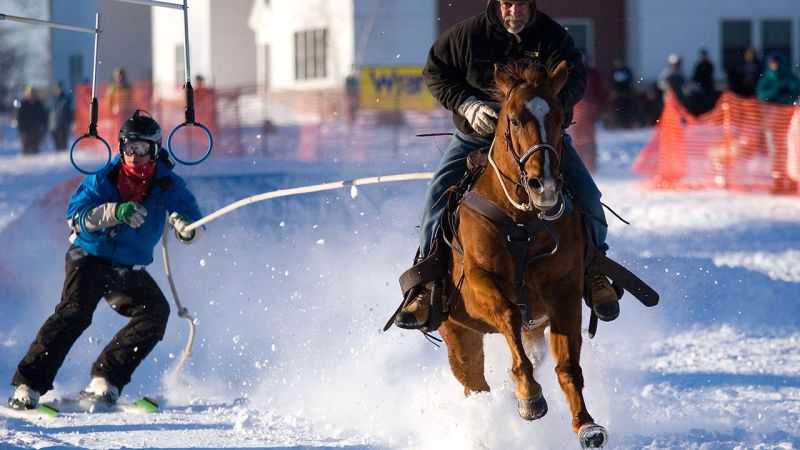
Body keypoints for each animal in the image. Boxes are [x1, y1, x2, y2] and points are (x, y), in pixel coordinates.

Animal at [438, 59, 608, 446]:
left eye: (560, 117)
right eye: (514, 120)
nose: (544, 185)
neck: (521, 221)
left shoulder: (564, 289)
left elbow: (568, 364)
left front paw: (586, 423)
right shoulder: (478, 282)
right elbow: (508, 314)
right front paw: (529, 396)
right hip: (458, 335)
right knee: (475, 385)